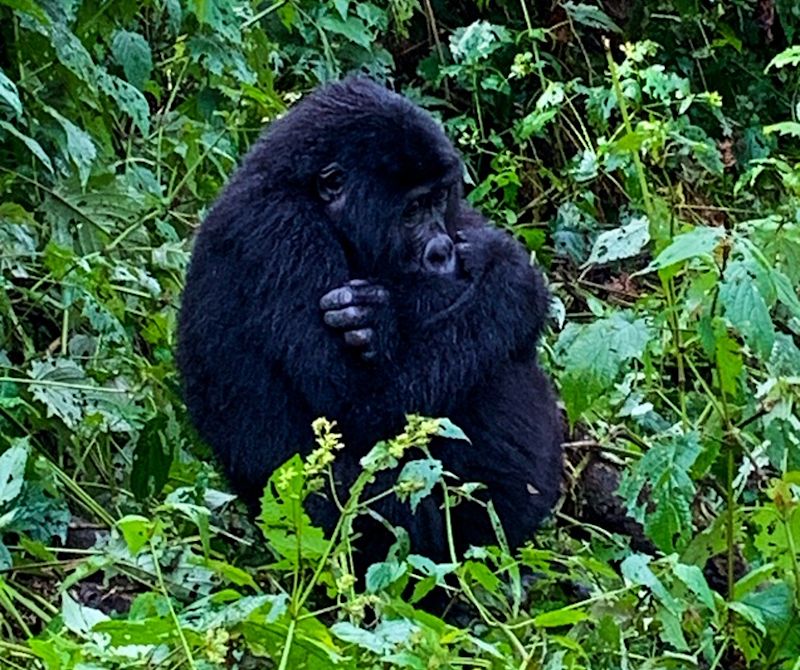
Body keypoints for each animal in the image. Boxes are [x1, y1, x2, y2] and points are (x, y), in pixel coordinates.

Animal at [178, 76, 564, 564]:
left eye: (438, 198)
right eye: (412, 210)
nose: (440, 252)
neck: (302, 190)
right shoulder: (282, 235)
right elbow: (356, 406)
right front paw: (507, 287)